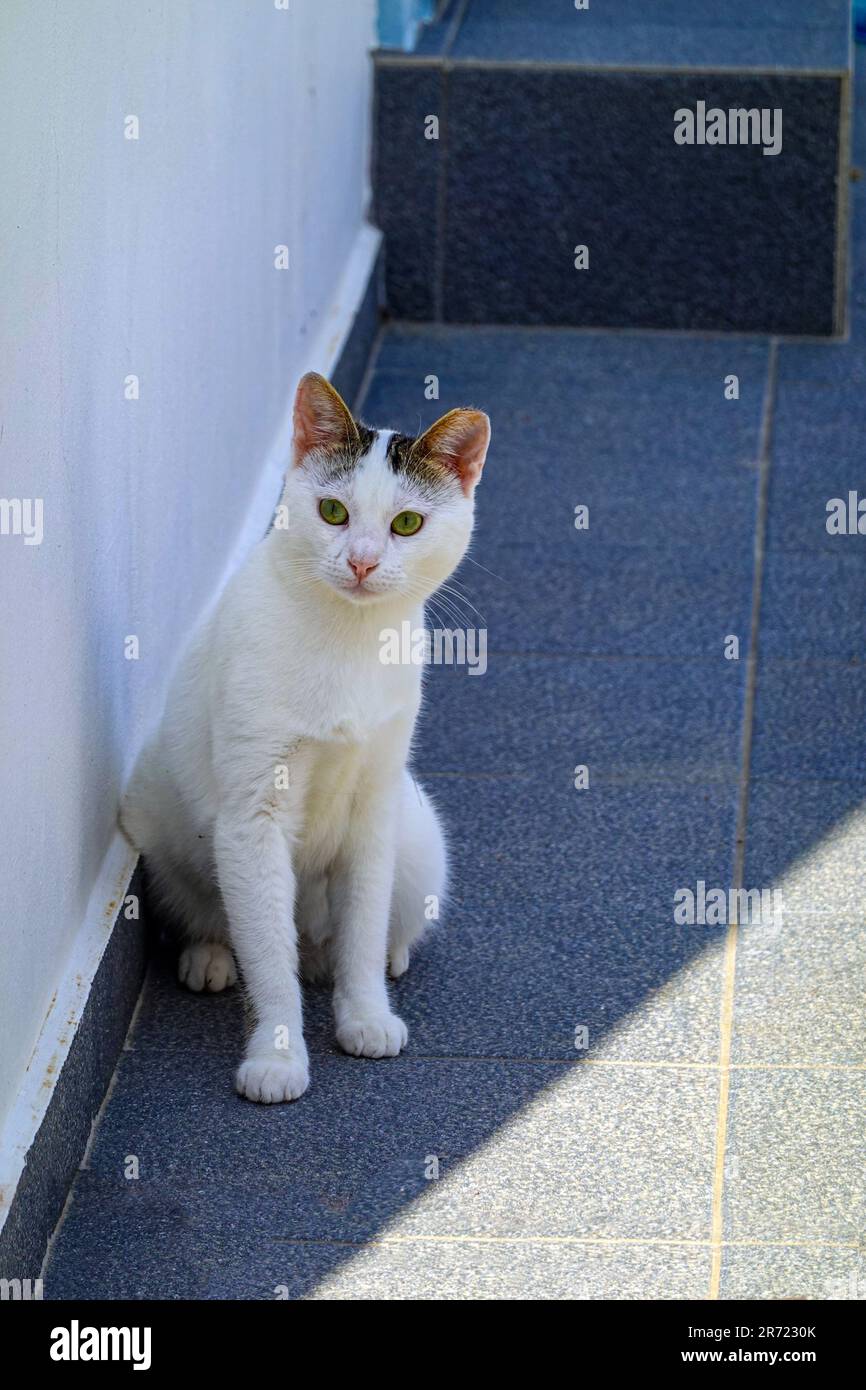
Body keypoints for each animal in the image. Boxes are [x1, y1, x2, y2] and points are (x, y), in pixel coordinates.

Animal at [119, 372, 492, 1106]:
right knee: (221, 915)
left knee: (374, 925)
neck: (347, 638)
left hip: (418, 835)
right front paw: (277, 1053)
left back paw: (389, 955)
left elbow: (363, 927)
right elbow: (268, 955)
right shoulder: (251, 817)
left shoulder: (376, 804)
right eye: (333, 511)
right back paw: (209, 955)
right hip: (158, 821)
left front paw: (366, 1013)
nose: (362, 561)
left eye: (408, 523)